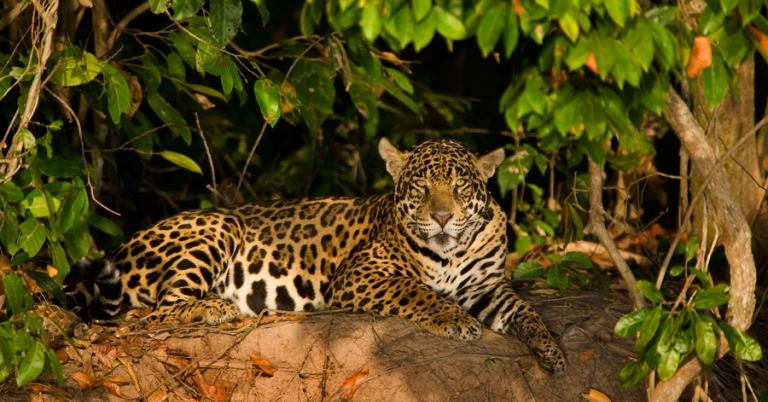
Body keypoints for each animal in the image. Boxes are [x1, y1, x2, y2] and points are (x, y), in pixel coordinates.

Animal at [65, 137, 566, 375]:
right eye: (421, 187)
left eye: (461, 186)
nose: (442, 217)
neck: (452, 251)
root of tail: (125, 245)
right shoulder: (363, 274)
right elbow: (417, 290)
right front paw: (454, 319)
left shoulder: (486, 286)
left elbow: (525, 310)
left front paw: (552, 352)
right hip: (218, 226)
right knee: (156, 312)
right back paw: (215, 307)